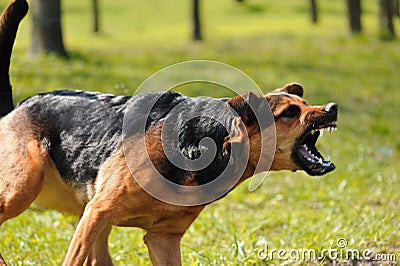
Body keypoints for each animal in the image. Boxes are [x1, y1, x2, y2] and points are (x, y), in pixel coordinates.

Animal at [0, 1, 338, 264]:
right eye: (290, 112)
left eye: (305, 103)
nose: (332, 107)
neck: (207, 146)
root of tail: (17, 107)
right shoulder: (98, 212)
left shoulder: (162, 238)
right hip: (23, 189)